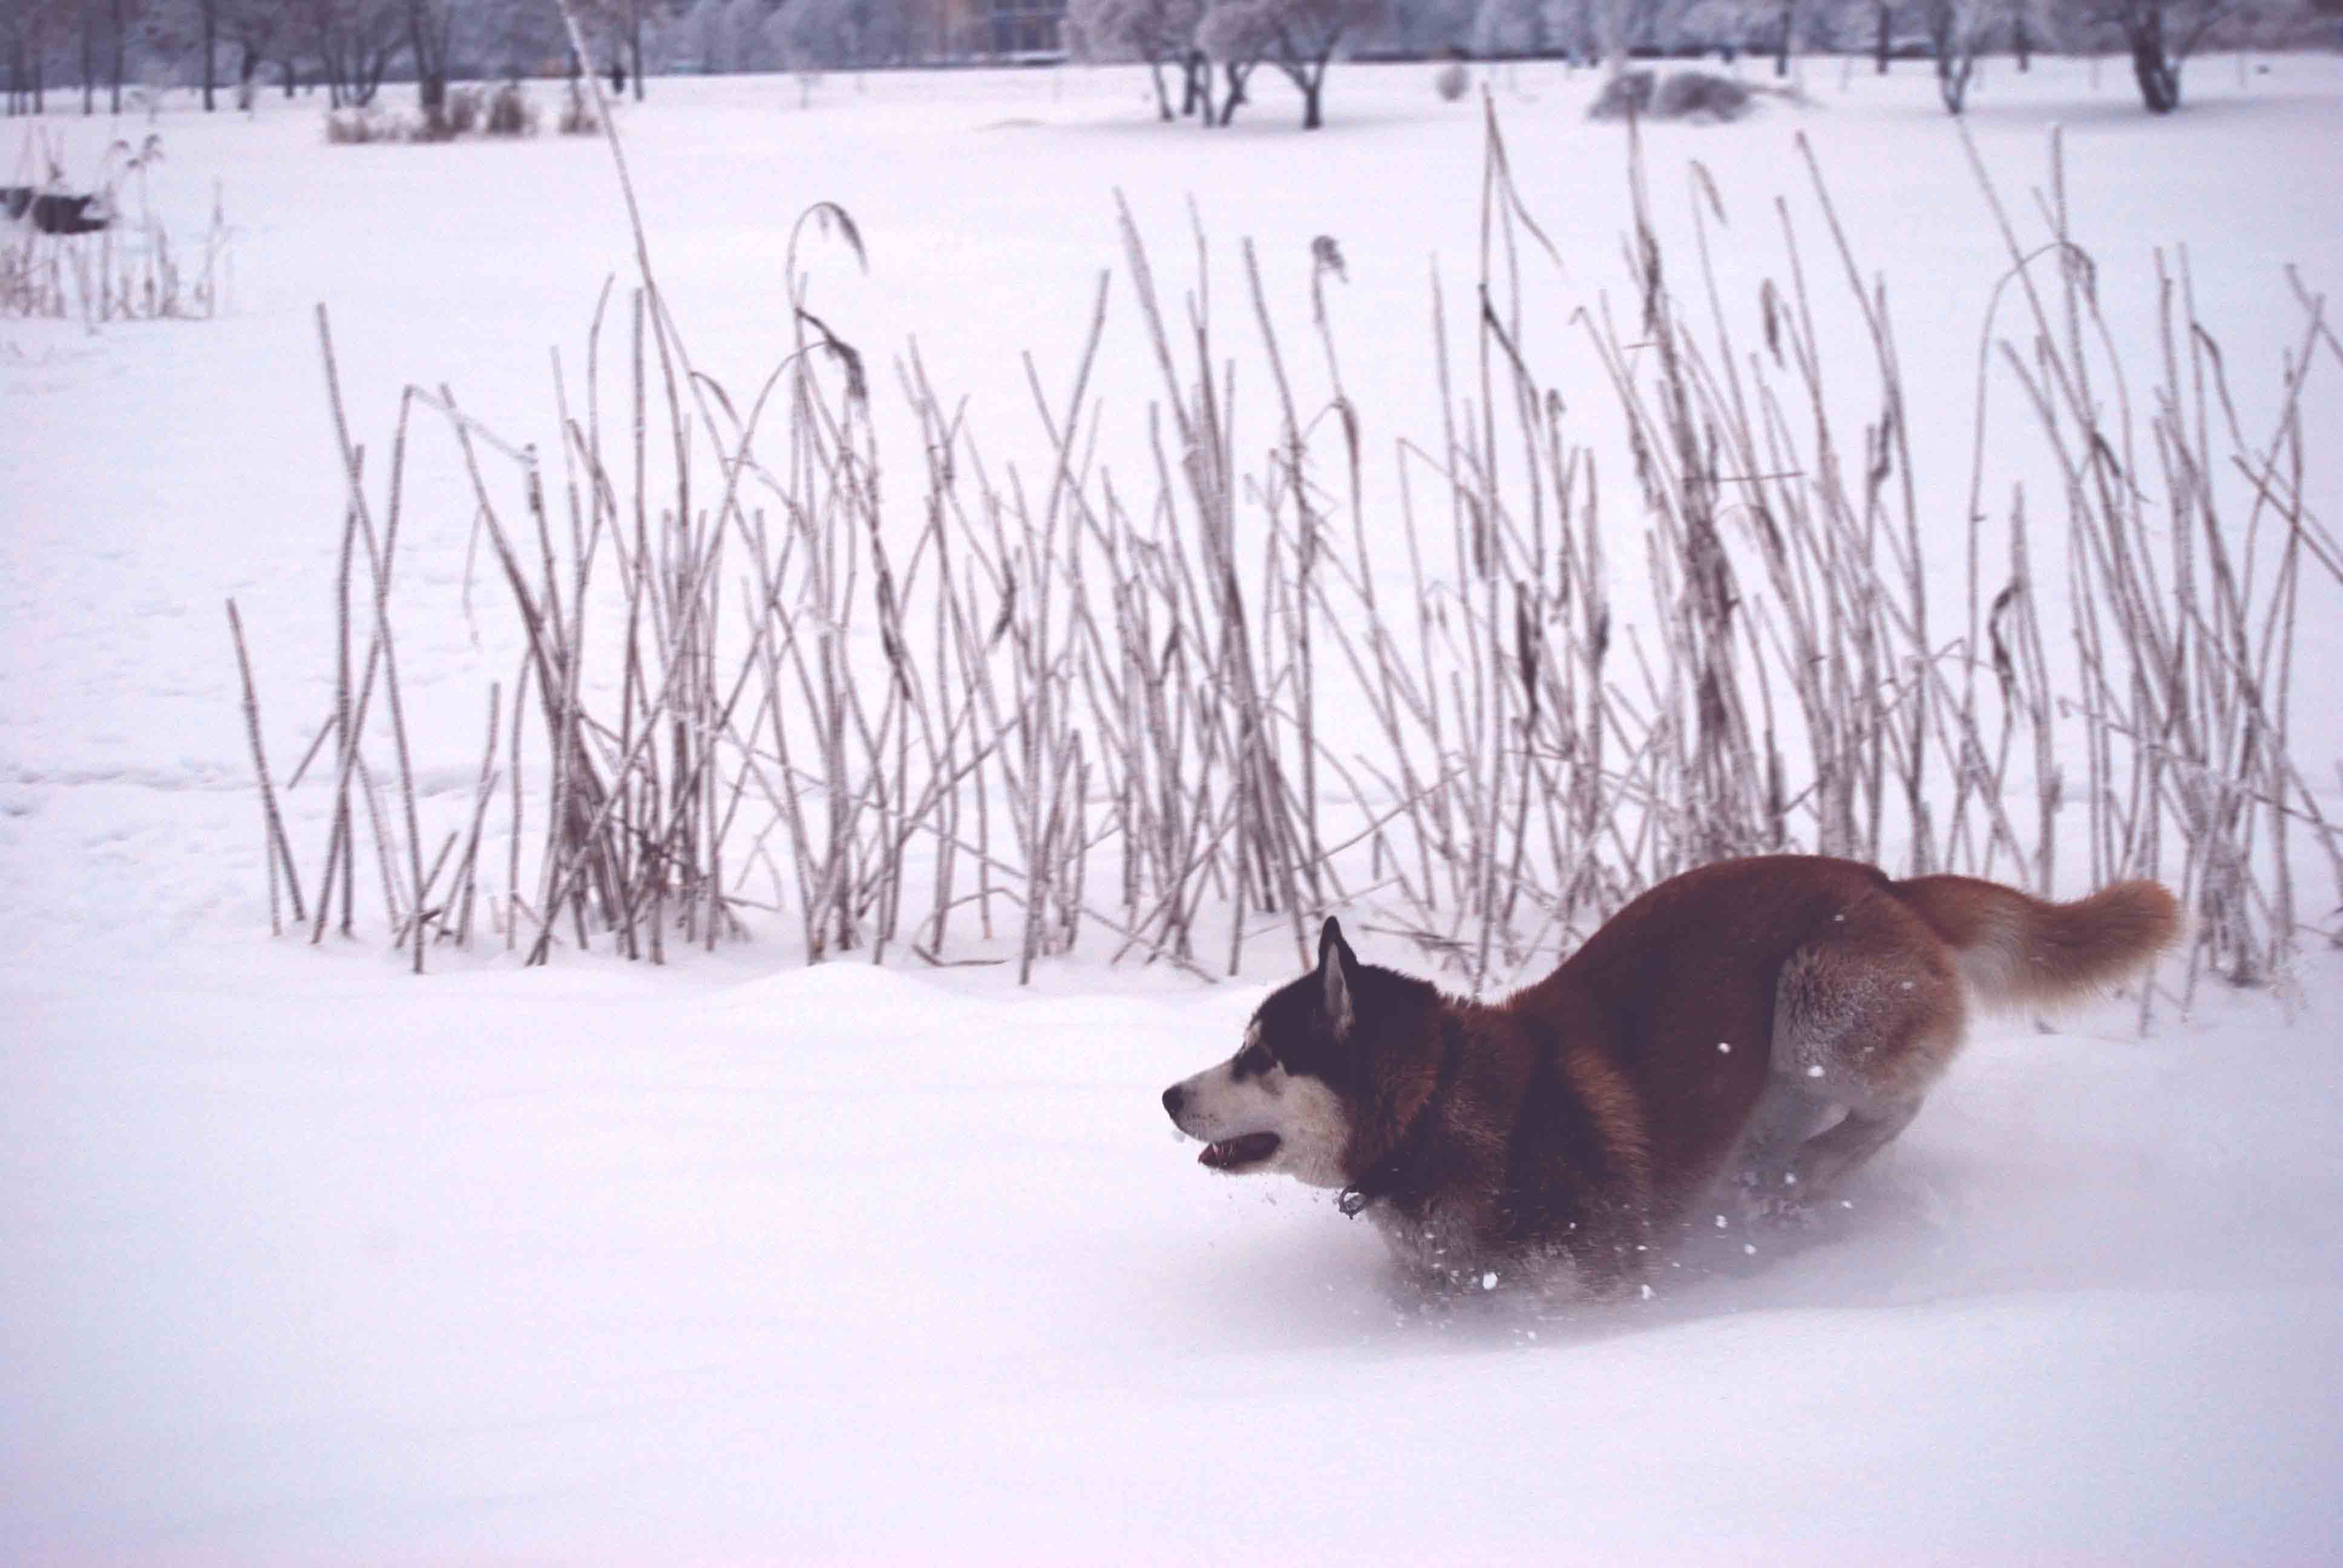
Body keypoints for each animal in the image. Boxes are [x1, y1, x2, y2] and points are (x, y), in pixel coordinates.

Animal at [1157, 848, 2174, 1293]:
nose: (1167, 1095)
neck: (1442, 1105)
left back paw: (1806, 1173)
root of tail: (1878, 876)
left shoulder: (1587, 1285)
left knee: (1897, 1099)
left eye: (1259, 1057)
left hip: (1818, 1003)